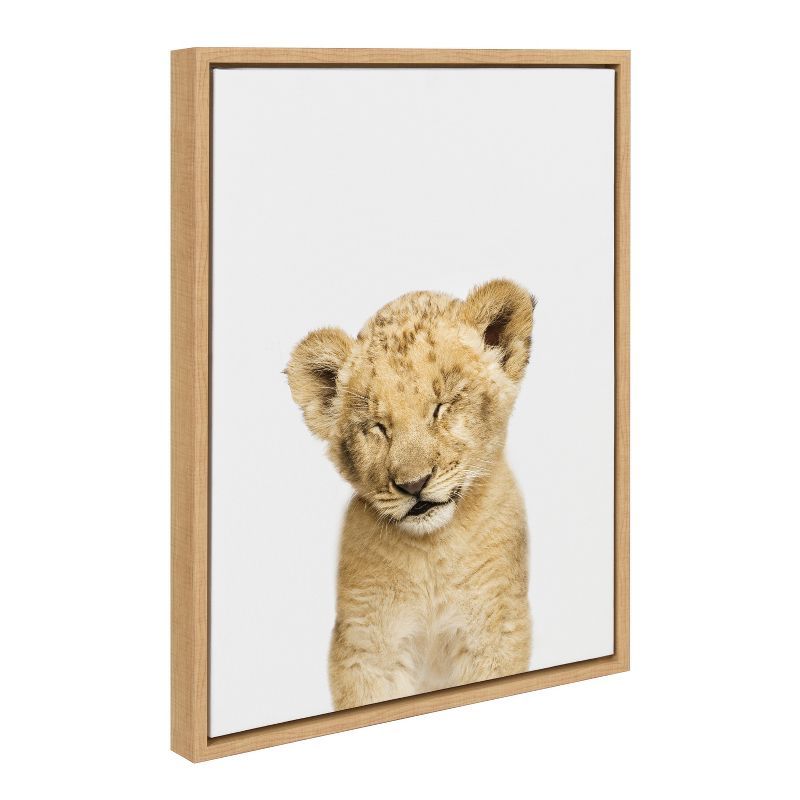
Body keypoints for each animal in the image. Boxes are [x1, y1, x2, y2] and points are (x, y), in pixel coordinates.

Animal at [286, 278, 534, 710]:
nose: (414, 484)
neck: (432, 550)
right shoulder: (366, 645)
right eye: (377, 426)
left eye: (442, 407)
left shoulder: (496, 629)